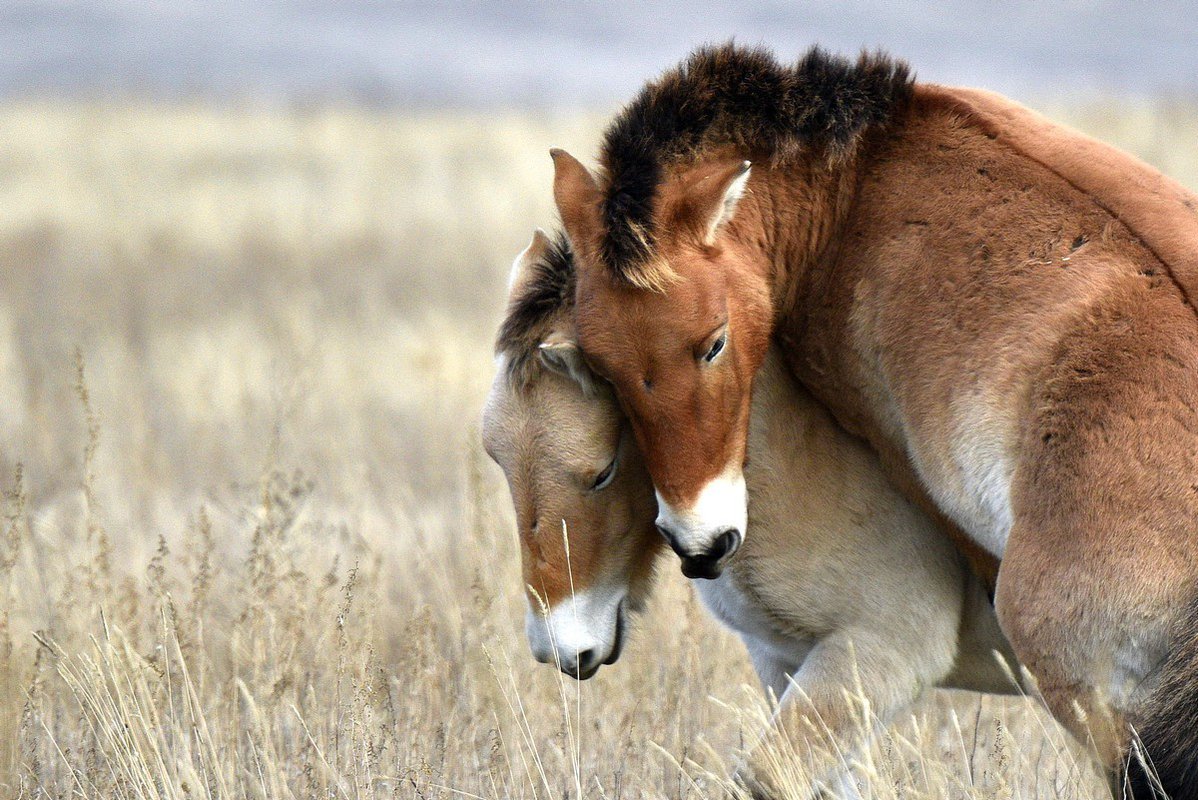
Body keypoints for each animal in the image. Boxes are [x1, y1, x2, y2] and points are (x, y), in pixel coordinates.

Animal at [481, 229, 1015, 795]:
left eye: (602, 471)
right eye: (496, 456)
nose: (558, 647)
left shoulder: (881, 650)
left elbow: (765, 775)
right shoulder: (787, 664)